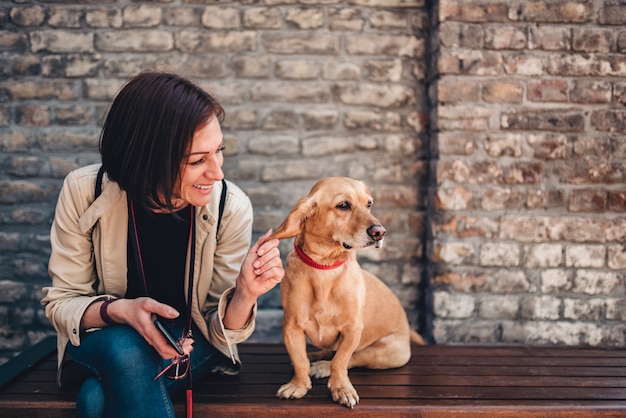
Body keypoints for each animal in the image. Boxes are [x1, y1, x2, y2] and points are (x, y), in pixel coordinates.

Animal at [270, 176, 424, 408]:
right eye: (343, 205)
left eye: (369, 204)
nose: (380, 232)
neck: (324, 267)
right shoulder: (291, 327)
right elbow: (299, 360)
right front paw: (299, 385)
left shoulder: (352, 330)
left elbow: (341, 361)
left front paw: (341, 389)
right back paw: (315, 357)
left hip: (384, 352)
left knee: (352, 358)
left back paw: (322, 366)